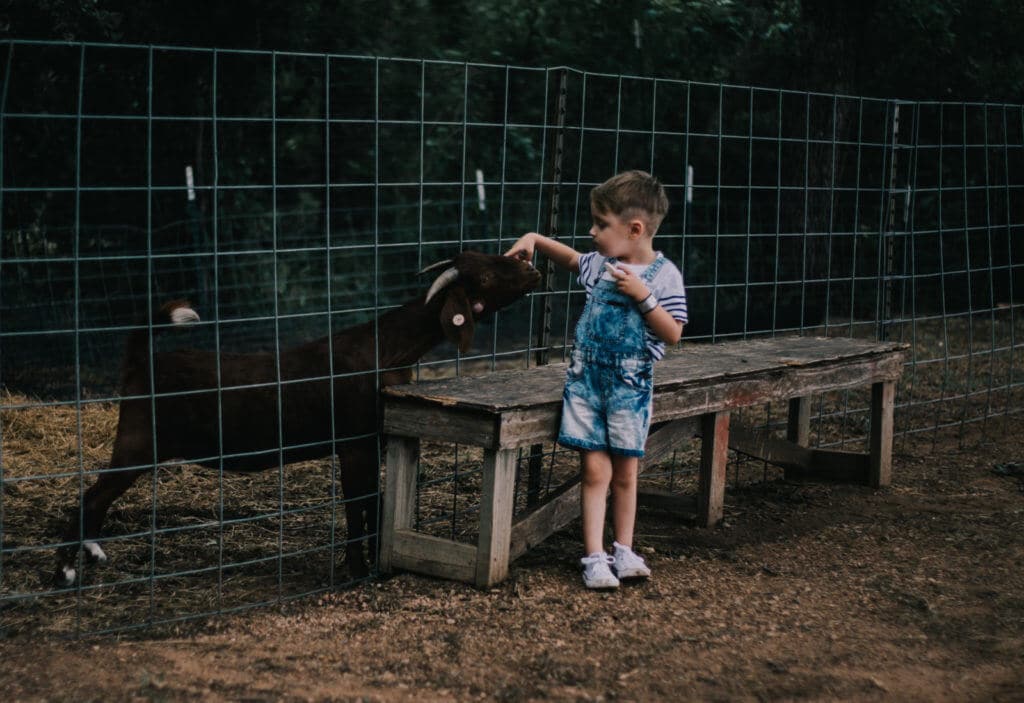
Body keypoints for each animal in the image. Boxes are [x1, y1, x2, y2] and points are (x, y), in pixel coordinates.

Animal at [54, 250, 544, 585]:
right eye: (485, 273)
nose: (531, 266)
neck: (387, 349)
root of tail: (140, 361)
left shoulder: (373, 439)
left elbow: (376, 501)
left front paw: (372, 561)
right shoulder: (354, 442)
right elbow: (358, 503)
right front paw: (356, 569)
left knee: (95, 498)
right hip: (138, 440)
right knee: (91, 498)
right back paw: (67, 573)